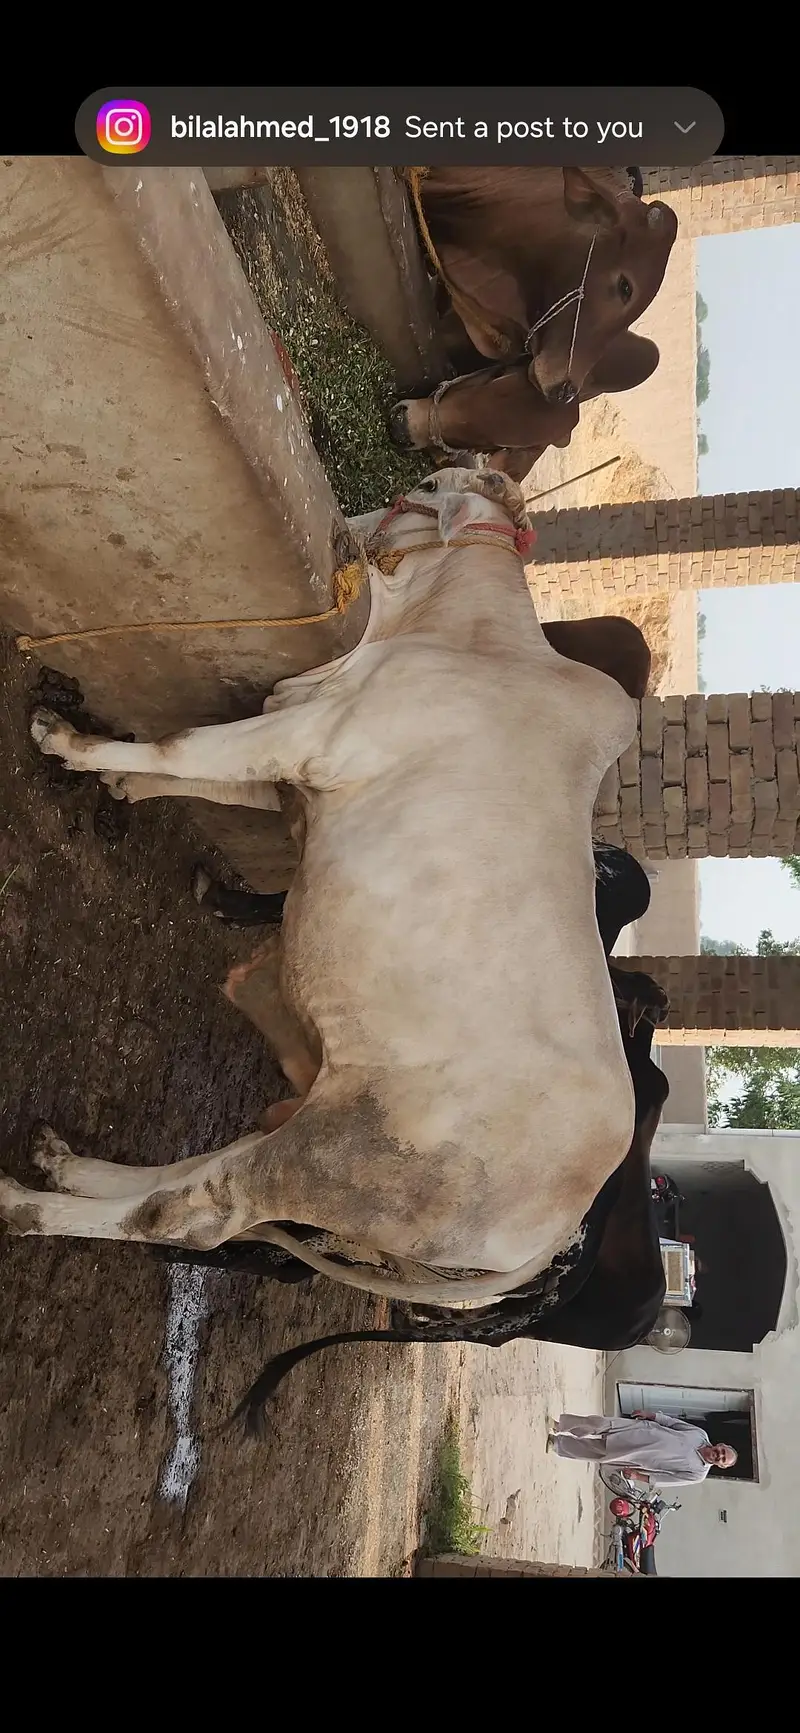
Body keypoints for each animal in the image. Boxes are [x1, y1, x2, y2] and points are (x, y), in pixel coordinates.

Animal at [10, 466, 640, 1318]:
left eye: (421, 485)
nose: (346, 526)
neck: (459, 634)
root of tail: (559, 1226)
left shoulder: (311, 738)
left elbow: (181, 745)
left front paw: (70, 742)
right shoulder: (295, 761)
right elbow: (199, 772)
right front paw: (119, 779)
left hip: (342, 1156)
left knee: (196, 1210)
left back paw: (24, 1202)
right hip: (323, 1123)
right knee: (206, 1169)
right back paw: (68, 1165)